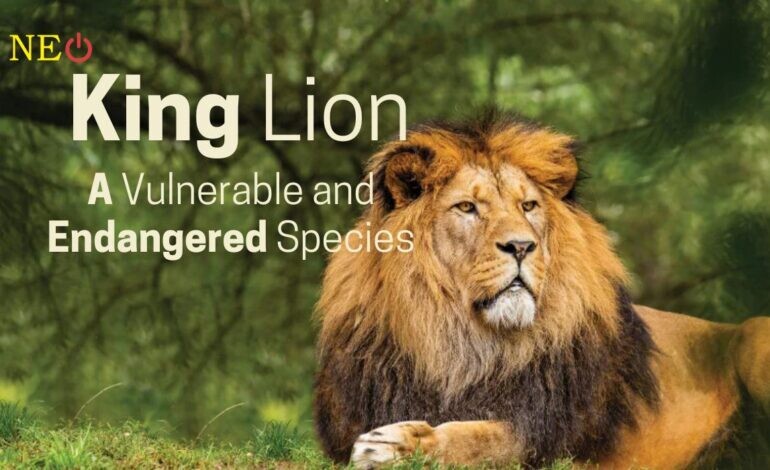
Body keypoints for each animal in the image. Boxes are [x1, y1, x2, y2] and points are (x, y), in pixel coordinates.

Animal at [313, 111, 770, 469]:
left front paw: (397, 444)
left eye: (528, 206)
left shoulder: (545, 434)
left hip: (754, 337)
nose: (521, 246)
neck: (462, 344)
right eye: (467, 208)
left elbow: (475, 438)